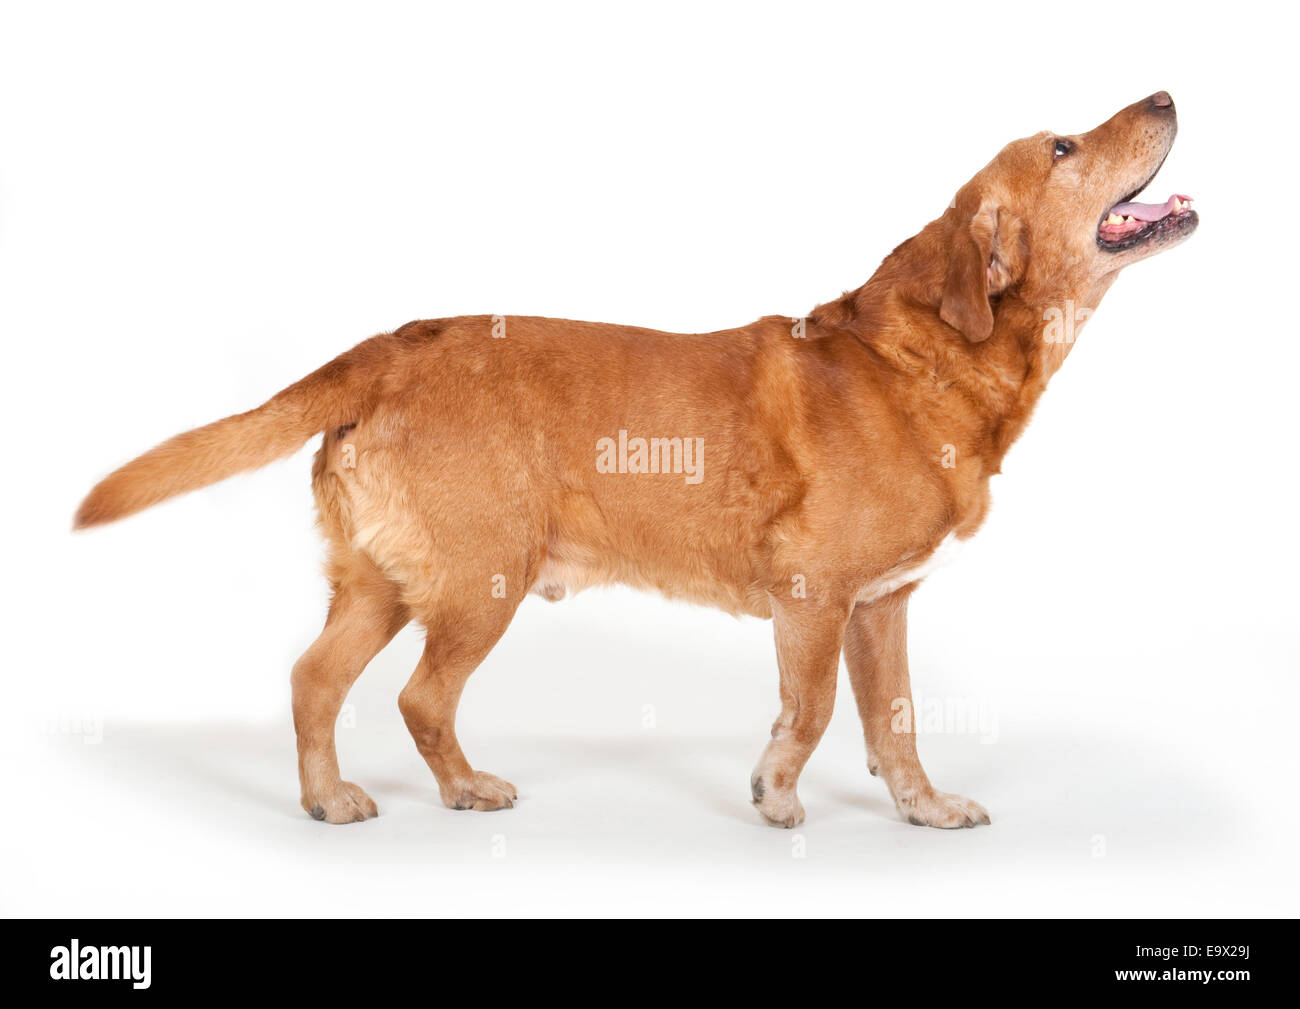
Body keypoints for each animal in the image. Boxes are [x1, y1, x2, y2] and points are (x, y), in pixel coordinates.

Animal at [76, 92, 1196, 826]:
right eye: (1064, 144)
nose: (1165, 92)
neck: (931, 360)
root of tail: (389, 345)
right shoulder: (814, 598)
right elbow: (814, 710)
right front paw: (775, 796)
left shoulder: (882, 607)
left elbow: (897, 722)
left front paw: (921, 809)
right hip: (482, 581)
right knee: (418, 698)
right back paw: (463, 789)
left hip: (384, 584)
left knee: (315, 680)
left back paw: (327, 797)